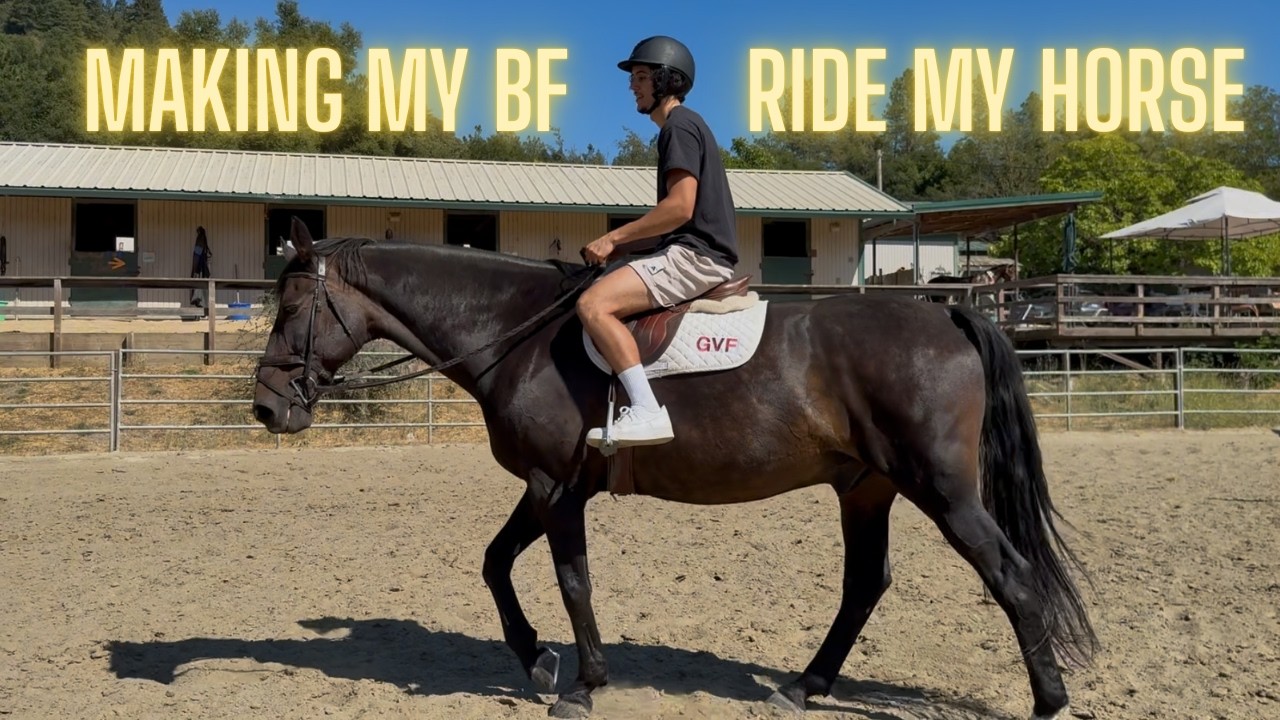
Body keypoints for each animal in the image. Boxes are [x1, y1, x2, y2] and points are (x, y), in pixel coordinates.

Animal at [252, 218, 1096, 720]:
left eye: (290, 309)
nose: (265, 409)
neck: (515, 332)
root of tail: (944, 313)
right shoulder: (548, 486)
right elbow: (494, 564)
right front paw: (537, 662)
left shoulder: (556, 489)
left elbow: (572, 581)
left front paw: (584, 685)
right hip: (868, 488)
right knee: (866, 584)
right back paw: (804, 686)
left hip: (941, 489)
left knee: (1008, 574)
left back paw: (1049, 698)